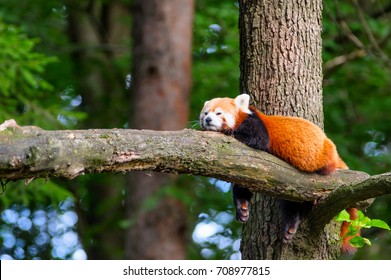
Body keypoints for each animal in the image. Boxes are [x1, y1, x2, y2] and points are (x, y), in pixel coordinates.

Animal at [202, 93, 358, 254]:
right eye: (206, 113)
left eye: (218, 113)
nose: (207, 120)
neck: (243, 116)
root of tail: (335, 154)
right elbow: (242, 185)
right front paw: (242, 208)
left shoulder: (255, 125)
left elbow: (258, 140)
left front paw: (228, 132)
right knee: (292, 204)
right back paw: (290, 226)